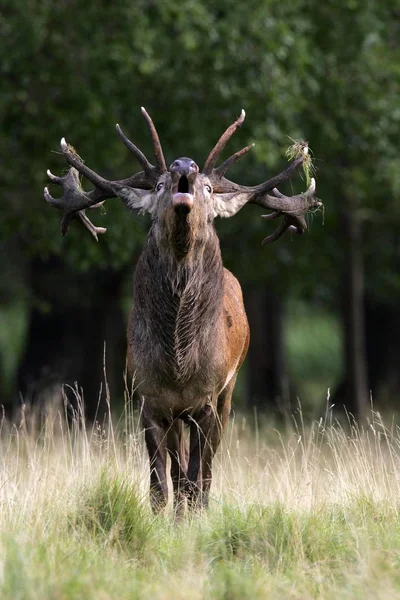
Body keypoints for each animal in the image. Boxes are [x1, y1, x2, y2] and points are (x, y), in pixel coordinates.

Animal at [43, 108, 318, 510]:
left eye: (208, 188)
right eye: (158, 185)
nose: (183, 164)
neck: (178, 365)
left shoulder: (208, 399)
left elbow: (195, 476)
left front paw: (194, 514)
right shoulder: (149, 399)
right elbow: (160, 481)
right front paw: (166, 516)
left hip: (229, 391)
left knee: (206, 469)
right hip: (178, 414)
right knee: (178, 466)